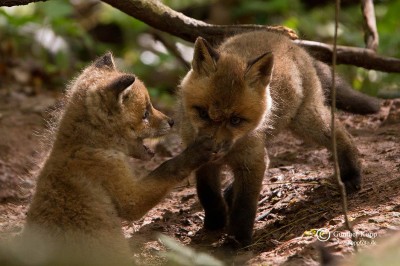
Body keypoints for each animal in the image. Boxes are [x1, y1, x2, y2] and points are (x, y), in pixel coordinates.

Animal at [2, 53, 216, 264]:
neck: (89, 146)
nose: (171, 121)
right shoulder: (127, 194)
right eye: (145, 113)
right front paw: (197, 151)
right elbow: (167, 168)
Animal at [178, 30, 362, 247]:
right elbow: (207, 193)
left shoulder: (253, 161)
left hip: (306, 121)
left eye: (235, 120)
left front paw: (237, 240)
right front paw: (216, 219)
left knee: (340, 133)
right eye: (203, 114)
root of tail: (292, 44)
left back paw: (351, 174)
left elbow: (244, 206)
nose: (213, 149)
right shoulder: (201, 159)